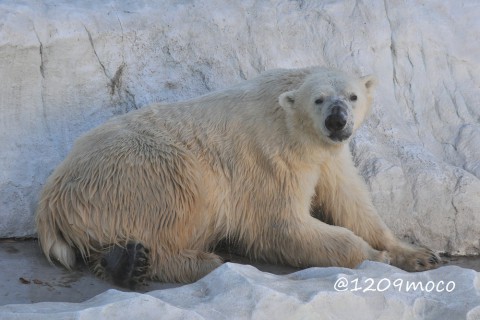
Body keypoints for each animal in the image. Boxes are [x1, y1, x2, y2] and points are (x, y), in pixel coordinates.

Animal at [36, 67, 438, 288]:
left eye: (352, 96)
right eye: (320, 99)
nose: (337, 121)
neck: (289, 120)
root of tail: (50, 197)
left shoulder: (327, 156)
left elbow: (352, 202)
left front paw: (418, 254)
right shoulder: (272, 159)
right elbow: (281, 225)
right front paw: (372, 256)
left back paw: (122, 261)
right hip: (146, 169)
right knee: (177, 204)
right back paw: (189, 262)